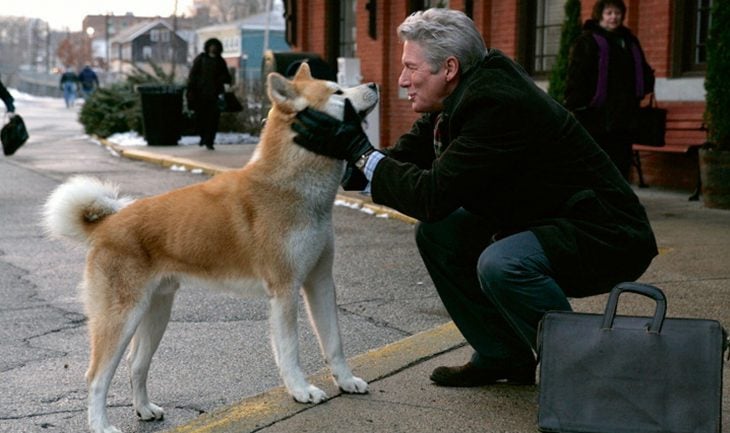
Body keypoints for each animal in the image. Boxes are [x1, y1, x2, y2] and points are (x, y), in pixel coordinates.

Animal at [41, 63, 376, 432]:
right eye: (337, 92)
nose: (375, 85)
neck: (291, 187)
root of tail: (105, 225)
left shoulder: (320, 282)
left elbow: (335, 343)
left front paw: (346, 381)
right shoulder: (286, 290)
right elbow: (291, 350)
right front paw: (301, 390)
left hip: (156, 313)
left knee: (136, 365)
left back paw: (144, 409)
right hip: (121, 318)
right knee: (96, 377)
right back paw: (101, 424)